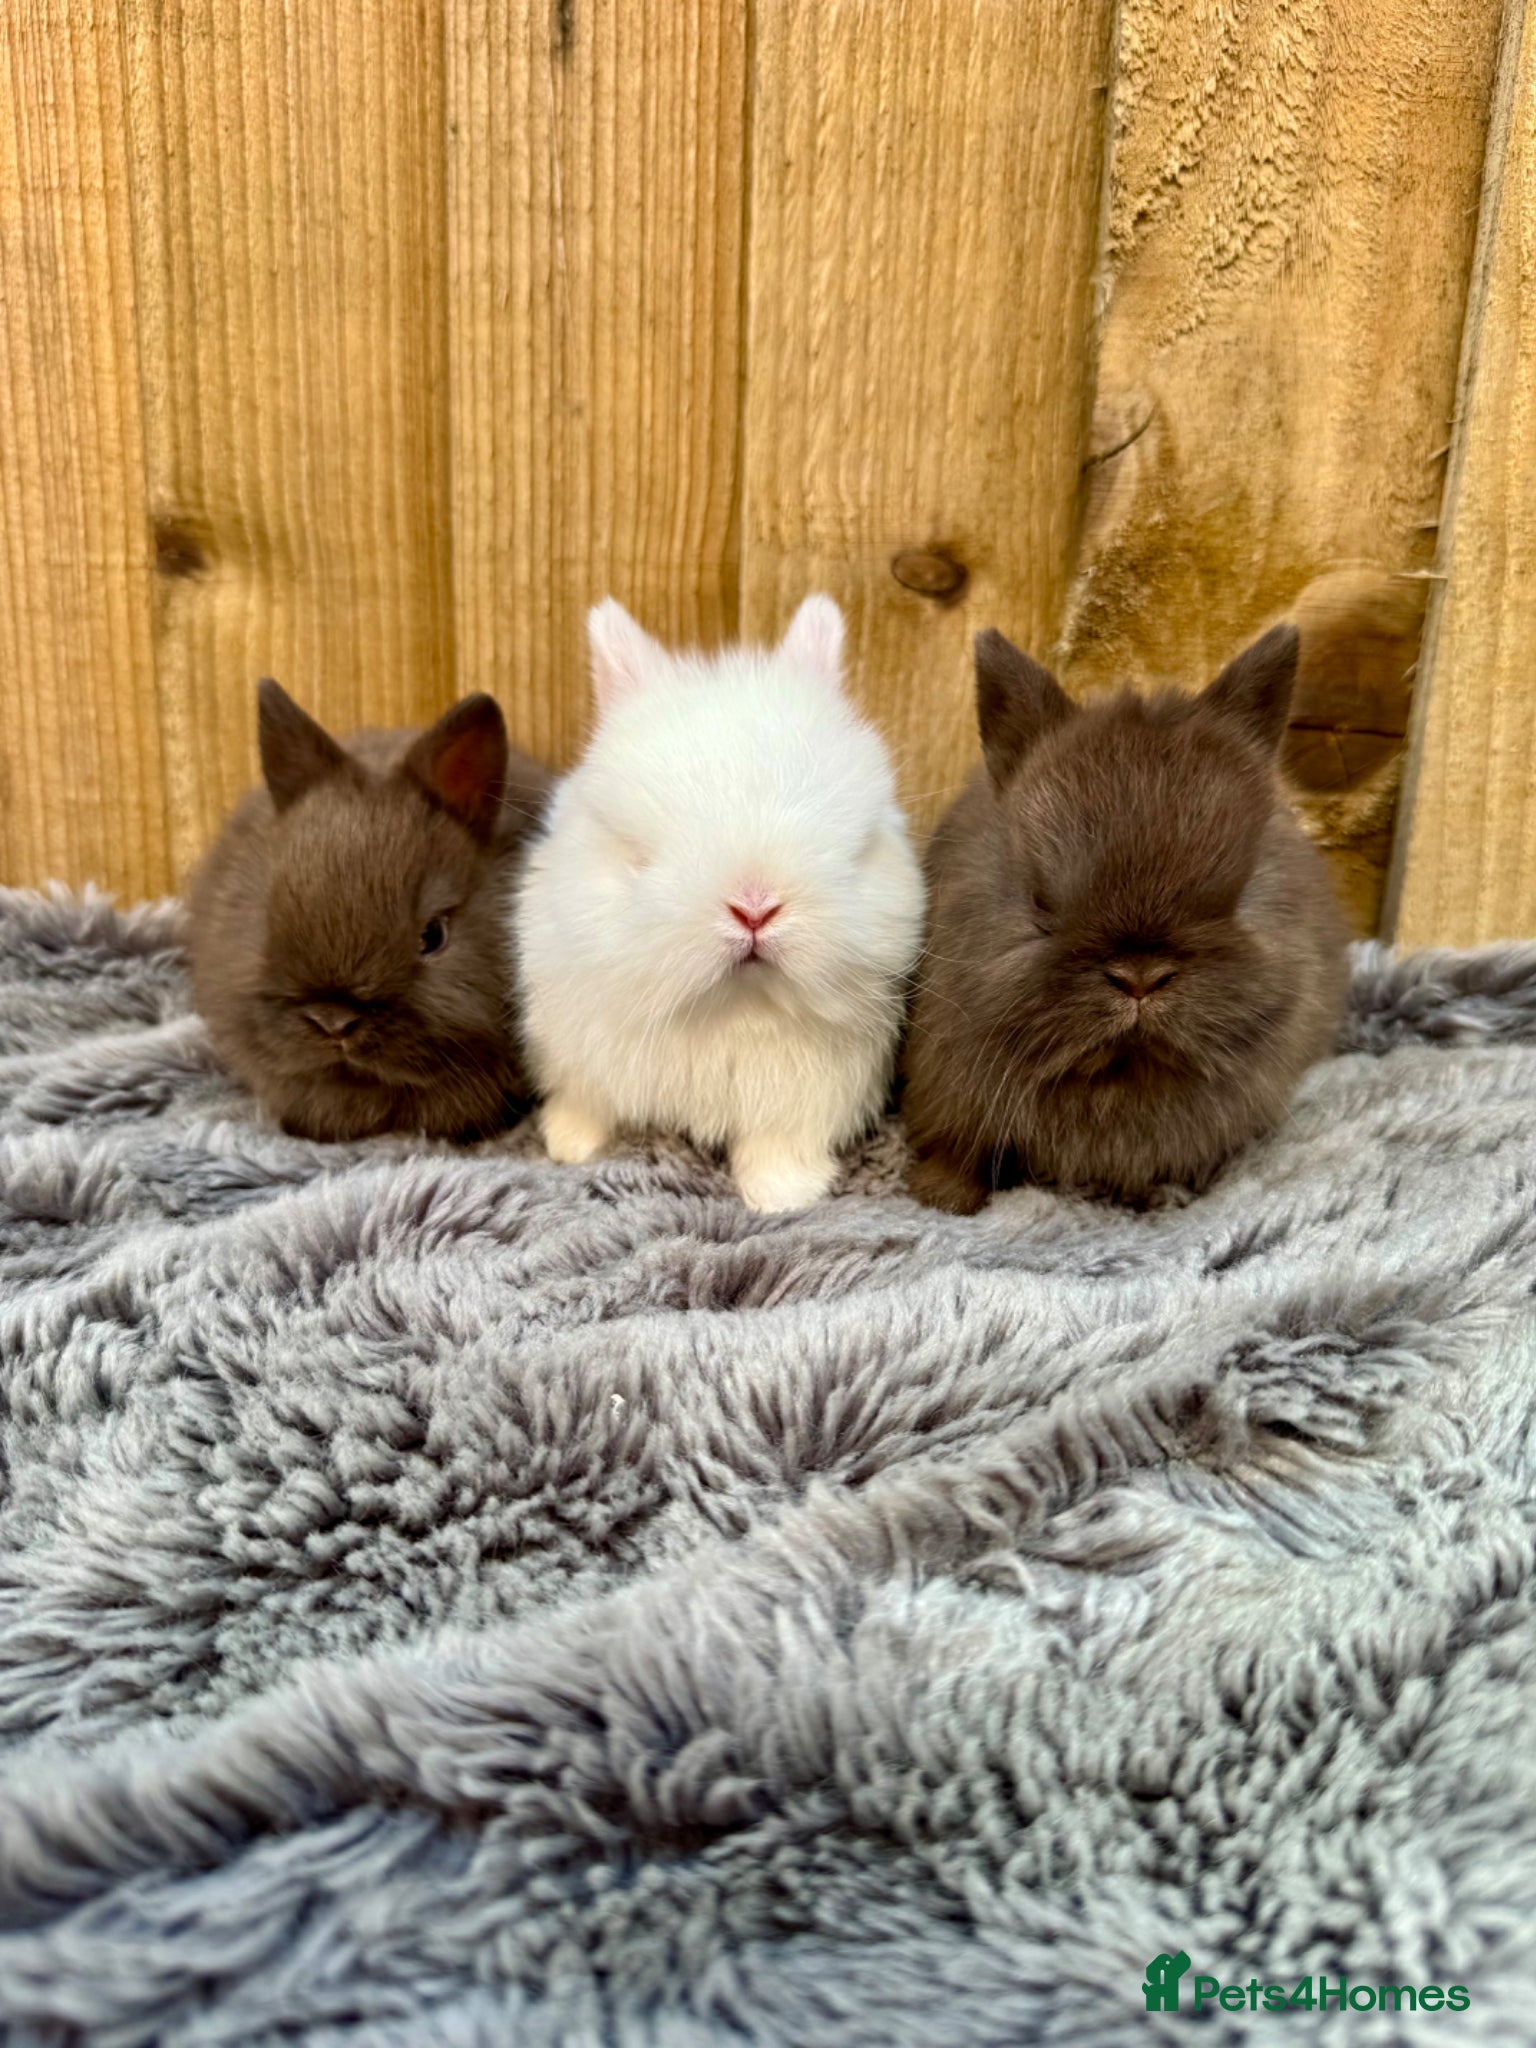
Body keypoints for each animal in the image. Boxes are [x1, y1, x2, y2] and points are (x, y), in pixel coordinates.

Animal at [512, 596, 925, 1211]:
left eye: (855, 845)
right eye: (639, 854)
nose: (755, 908)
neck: (730, 1010)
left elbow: (778, 1149)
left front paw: (784, 1196)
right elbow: (587, 1104)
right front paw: (569, 1145)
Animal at [902, 623, 1351, 1212]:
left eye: (1239, 896)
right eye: (1040, 901)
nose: (1140, 978)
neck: (1124, 1075)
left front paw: (1164, 1197)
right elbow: (960, 1154)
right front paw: (940, 1199)